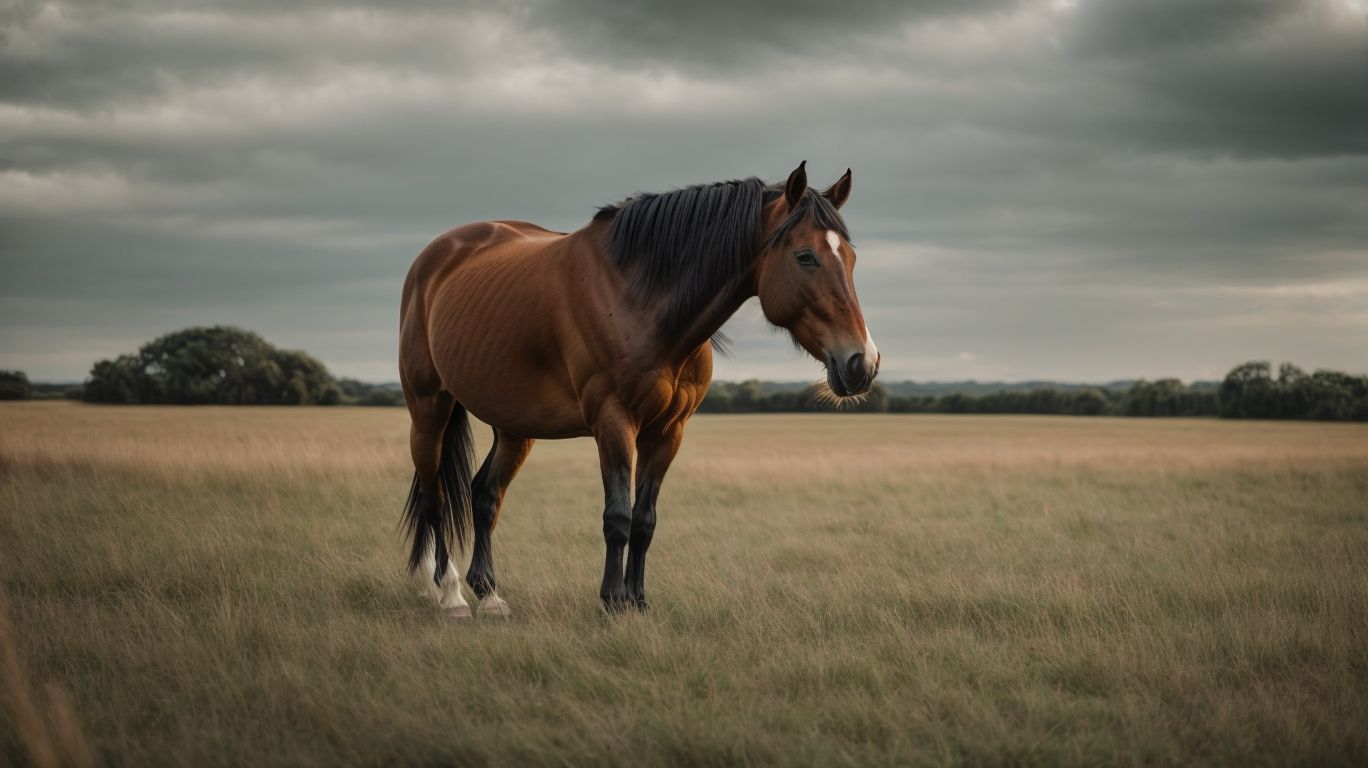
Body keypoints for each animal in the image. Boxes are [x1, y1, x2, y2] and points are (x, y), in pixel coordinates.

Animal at [398, 161, 880, 616]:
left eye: (851, 259)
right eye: (805, 257)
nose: (863, 363)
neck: (638, 299)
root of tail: (435, 256)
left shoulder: (668, 432)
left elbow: (645, 520)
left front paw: (638, 601)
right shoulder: (614, 422)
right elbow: (618, 516)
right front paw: (612, 600)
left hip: (515, 427)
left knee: (485, 496)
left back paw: (489, 594)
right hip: (429, 410)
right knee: (434, 499)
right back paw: (450, 595)